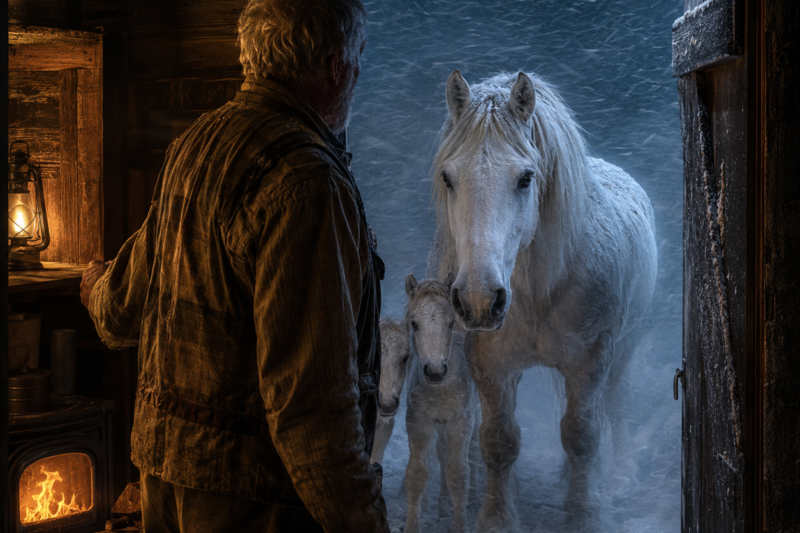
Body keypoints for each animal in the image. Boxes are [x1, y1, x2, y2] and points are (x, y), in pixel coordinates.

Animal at [403, 273, 481, 533]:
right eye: (414, 324)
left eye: (450, 323)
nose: (435, 371)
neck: (441, 389)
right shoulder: (418, 421)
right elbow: (417, 475)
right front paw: (411, 526)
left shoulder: (460, 422)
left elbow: (458, 475)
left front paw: (460, 526)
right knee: (442, 453)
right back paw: (443, 503)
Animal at [426, 70, 657, 531]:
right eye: (448, 178)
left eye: (525, 179)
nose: (479, 299)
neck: (537, 292)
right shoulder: (491, 365)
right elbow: (499, 441)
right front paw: (498, 517)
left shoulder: (592, 359)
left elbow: (582, 436)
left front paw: (585, 514)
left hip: (625, 348)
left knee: (615, 404)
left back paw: (619, 472)